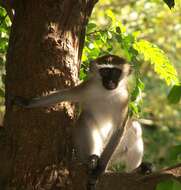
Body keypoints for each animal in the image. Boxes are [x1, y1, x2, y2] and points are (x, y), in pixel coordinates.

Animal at [13, 54, 144, 172]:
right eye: (105, 71)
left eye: (116, 72)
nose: (110, 81)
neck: (106, 93)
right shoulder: (87, 88)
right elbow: (63, 95)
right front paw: (27, 102)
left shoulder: (124, 99)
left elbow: (119, 129)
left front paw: (99, 170)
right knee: (85, 119)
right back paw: (90, 160)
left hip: (113, 155)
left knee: (135, 128)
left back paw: (133, 171)